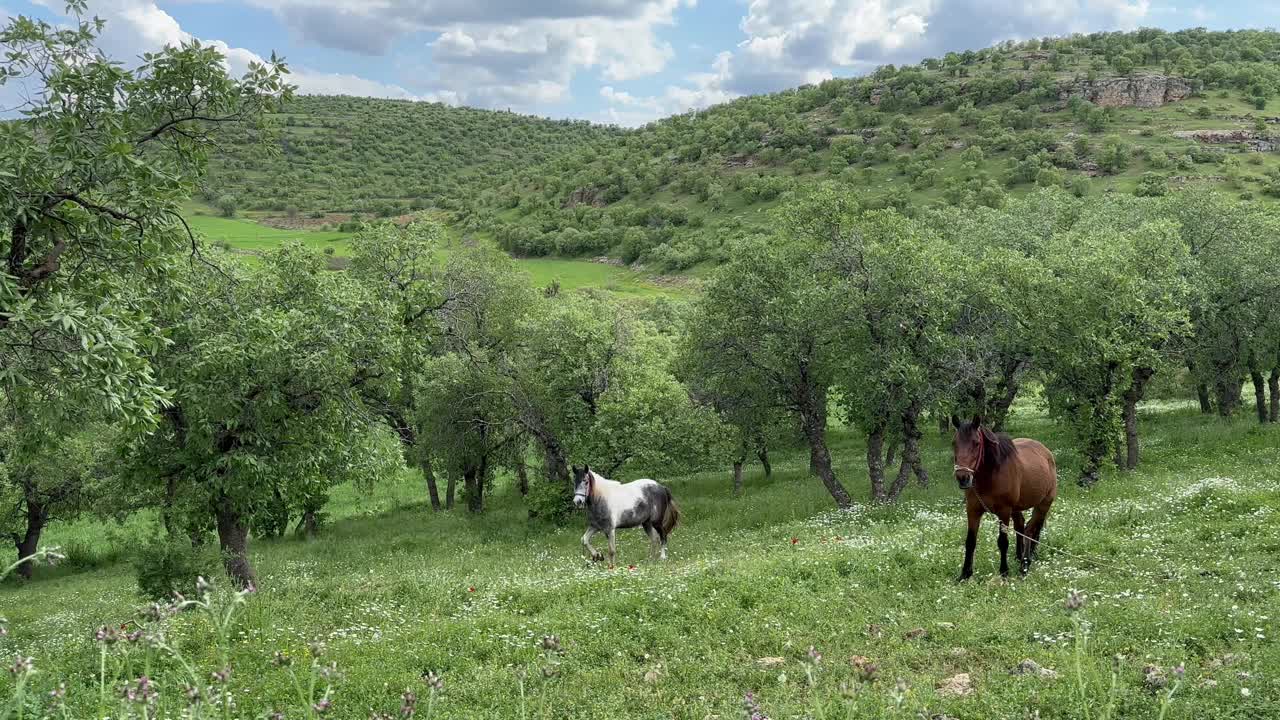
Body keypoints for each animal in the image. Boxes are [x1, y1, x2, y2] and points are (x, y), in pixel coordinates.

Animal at [952, 415, 1059, 576]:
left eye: (976, 443)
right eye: (954, 443)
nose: (962, 477)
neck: (990, 476)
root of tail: (1046, 452)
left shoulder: (1004, 511)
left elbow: (1003, 542)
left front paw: (1004, 571)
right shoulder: (973, 510)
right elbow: (970, 541)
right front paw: (965, 574)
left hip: (1044, 503)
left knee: (1032, 528)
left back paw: (1026, 561)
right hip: (1017, 508)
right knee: (1021, 526)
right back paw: (1020, 556)